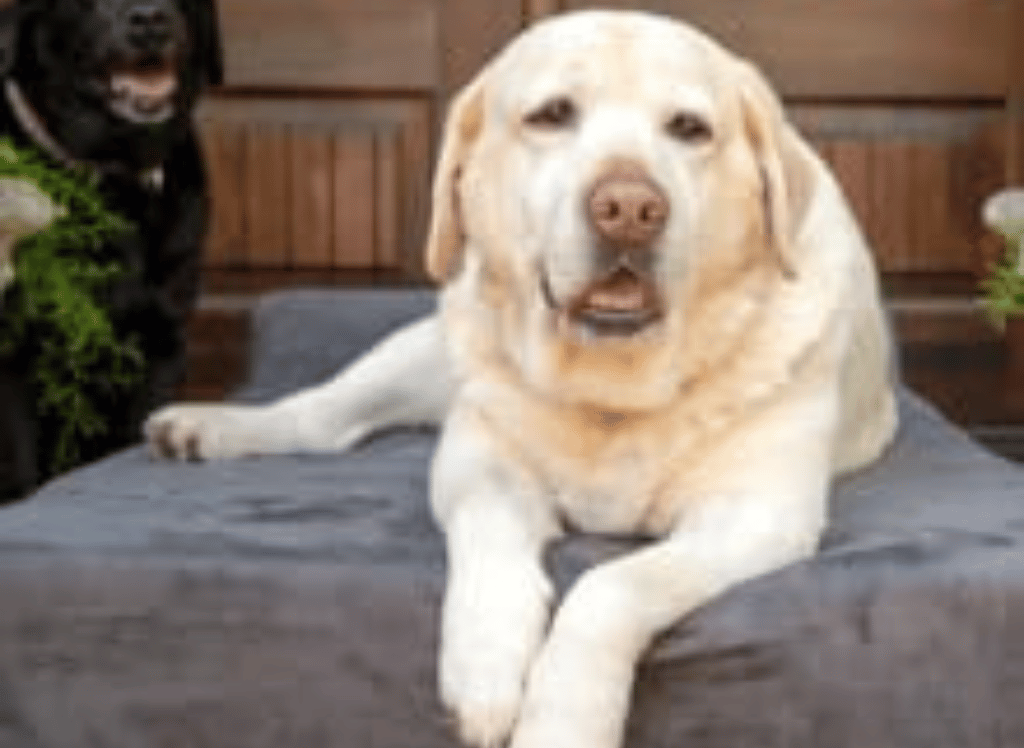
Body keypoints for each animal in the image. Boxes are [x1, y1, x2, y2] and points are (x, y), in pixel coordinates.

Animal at [147, 10, 898, 748]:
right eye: (553, 114)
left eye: (689, 128)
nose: (629, 208)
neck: (611, 387)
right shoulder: (478, 464)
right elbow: (489, 541)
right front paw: (486, 669)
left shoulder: (755, 516)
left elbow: (611, 586)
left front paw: (564, 719)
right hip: (427, 351)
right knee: (325, 416)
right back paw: (208, 426)